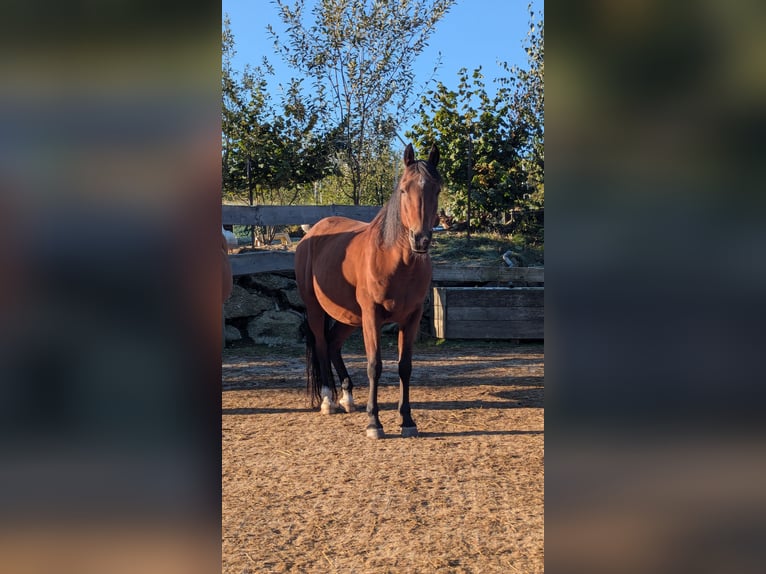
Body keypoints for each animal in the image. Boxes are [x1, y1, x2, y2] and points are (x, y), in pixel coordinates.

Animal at [295, 143, 442, 438]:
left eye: (437, 189)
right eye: (404, 189)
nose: (420, 240)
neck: (394, 260)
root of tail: (311, 234)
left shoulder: (411, 317)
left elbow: (405, 367)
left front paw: (407, 420)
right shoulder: (372, 316)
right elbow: (375, 365)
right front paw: (374, 422)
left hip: (349, 316)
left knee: (332, 343)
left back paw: (347, 397)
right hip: (317, 309)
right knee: (321, 343)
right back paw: (328, 400)